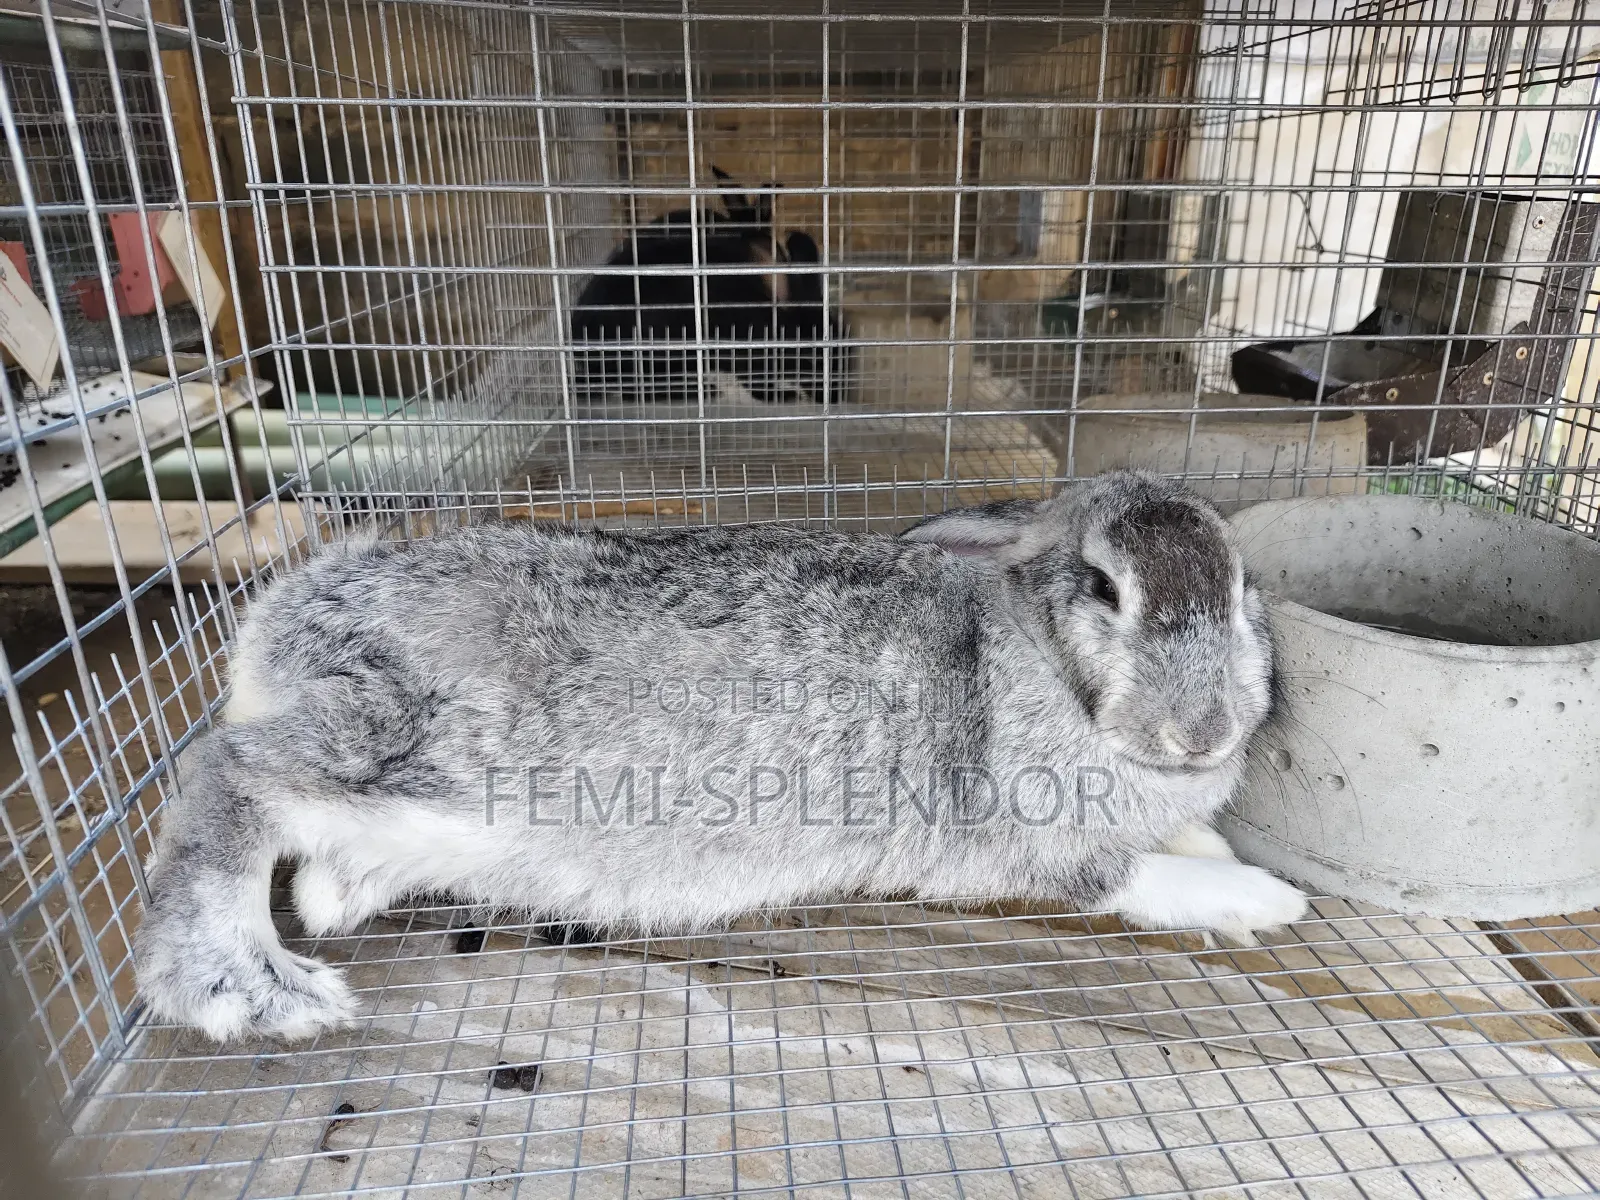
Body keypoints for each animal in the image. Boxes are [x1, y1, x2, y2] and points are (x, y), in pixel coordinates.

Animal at [134, 470, 1307, 1042]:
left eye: (1243, 582)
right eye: (1104, 586)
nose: (1202, 732)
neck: (1035, 655)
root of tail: (277, 624)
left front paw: (1218, 848)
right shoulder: (1024, 842)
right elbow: (1126, 877)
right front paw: (1263, 900)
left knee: (309, 856)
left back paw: (335, 896)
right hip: (433, 764)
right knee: (229, 777)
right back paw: (248, 985)